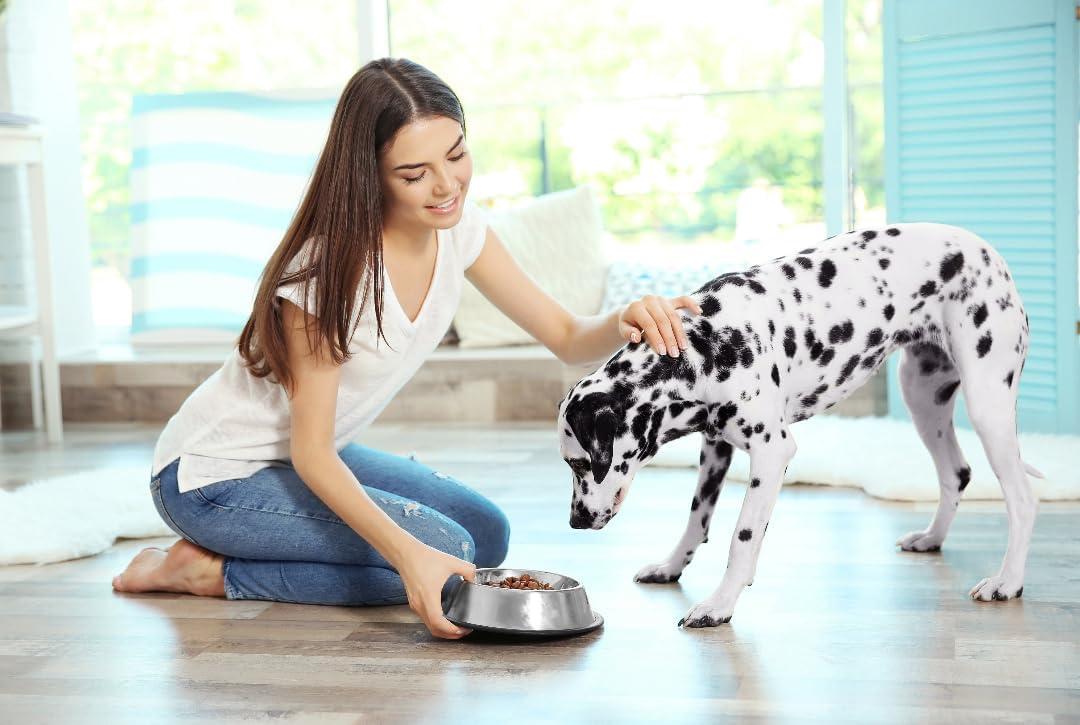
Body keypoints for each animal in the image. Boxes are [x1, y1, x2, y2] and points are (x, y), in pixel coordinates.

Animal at [557, 223, 1036, 626]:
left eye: (579, 464)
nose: (575, 521)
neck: (705, 344)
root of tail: (987, 250)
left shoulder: (771, 453)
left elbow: (742, 537)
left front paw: (720, 604)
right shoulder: (715, 446)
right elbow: (697, 520)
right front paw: (671, 566)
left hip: (987, 406)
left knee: (1021, 499)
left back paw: (1008, 581)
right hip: (922, 398)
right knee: (957, 473)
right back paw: (932, 537)